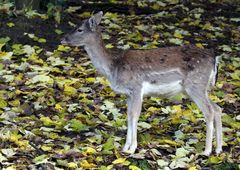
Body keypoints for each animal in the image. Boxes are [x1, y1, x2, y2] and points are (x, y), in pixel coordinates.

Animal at [61, 11, 223, 155]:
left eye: (79, 29)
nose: (63, 39)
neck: (113, 68)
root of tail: (214, 59)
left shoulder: (136, 87)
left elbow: (135, 115)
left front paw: (132, 149)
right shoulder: (128, 94)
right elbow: (128, 115)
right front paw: (125, 147)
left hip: (195, 85)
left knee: (209, 111)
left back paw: (207, 151)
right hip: (200, 88)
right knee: (217, 108)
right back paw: (219, 149)